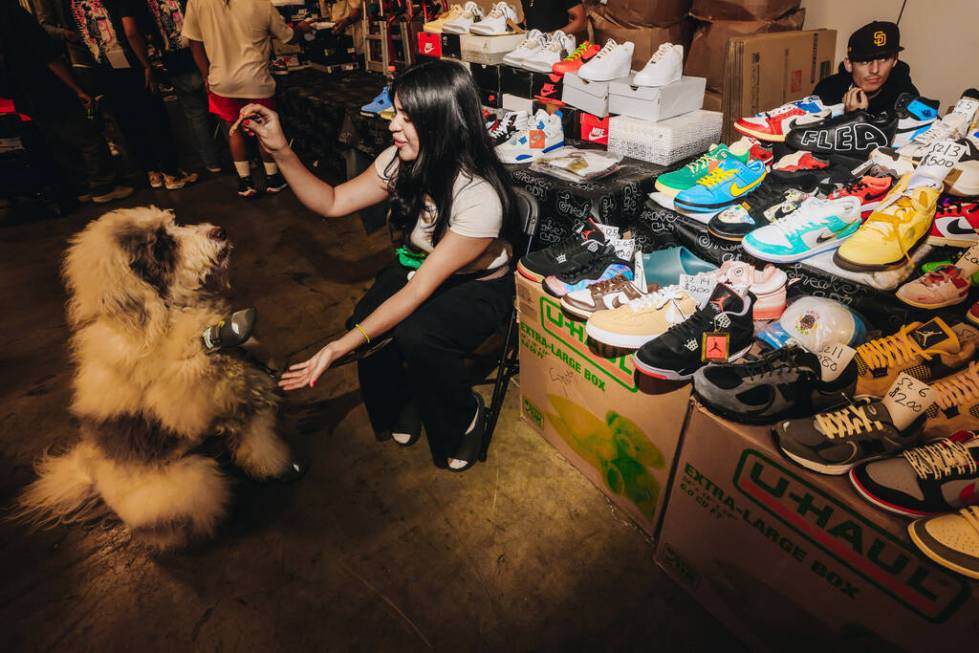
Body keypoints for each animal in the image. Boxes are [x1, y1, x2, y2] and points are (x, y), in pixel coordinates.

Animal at [15, 206, 290, 548]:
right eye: (160, 247)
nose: (219, 231)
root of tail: (94, 475)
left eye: (173, 226)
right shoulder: (198, 399)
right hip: (189, 484)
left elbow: (257, 428)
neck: (167, 315)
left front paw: (271, 461)